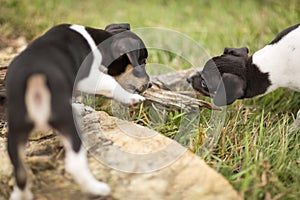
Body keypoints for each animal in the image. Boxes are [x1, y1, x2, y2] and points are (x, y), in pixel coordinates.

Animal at [6, 23, 152, 198]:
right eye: (142, 61)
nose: (150, 84)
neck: (97, 42)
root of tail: (35, 78)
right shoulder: (89, 78)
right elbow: (111, 84)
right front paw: (132, 98)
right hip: (70, 129)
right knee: (74, 165)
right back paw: (97, 188)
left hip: (15, 133)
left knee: (20, 172)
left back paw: (21, 195)